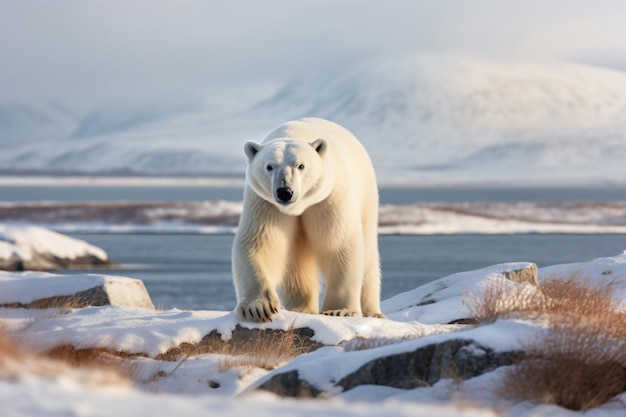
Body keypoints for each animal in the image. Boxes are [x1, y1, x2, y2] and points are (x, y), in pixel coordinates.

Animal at [232, 117, 382, 322]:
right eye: (269, 166)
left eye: (301, 166)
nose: (285, 191)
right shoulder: (265, 203)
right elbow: (260, 242)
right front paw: (258, 307)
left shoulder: (329, 198)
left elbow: (338, 245)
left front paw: (339, 310)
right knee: (296, 258)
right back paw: (301, 308)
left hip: (366, 195)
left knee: (367, 252)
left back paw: (373, 312)